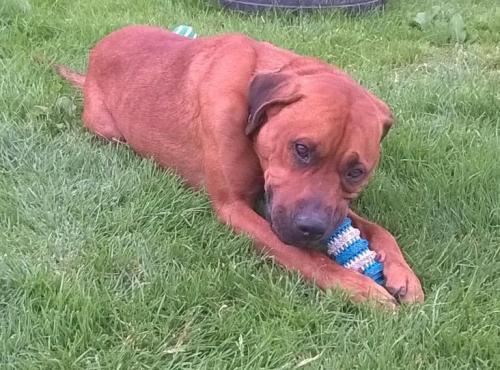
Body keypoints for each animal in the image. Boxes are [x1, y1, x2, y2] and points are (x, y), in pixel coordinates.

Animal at [54, 23, 422, 306]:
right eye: (301, 149)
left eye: (356, 172)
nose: (312, 228)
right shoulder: (234, 208)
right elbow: (304, 257)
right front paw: (356, 287)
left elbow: (379, 229)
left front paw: (403, 272)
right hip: (107, 130)